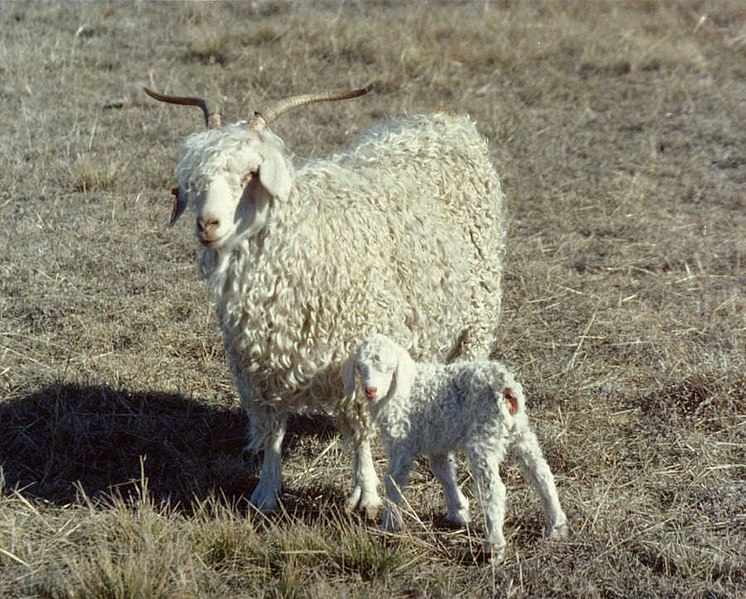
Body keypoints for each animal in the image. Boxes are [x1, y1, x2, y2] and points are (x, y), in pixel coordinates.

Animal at [340, 336, 568, 560]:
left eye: (389, 368)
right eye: (360, 367)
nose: (370, 391)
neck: (402, 388)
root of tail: (504, 385)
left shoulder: (402, 442)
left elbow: (393, 481)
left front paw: (390, 525)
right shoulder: (437, 443)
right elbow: (444, 473)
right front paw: (458, 513)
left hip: (484, 437)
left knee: (494, 488)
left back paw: (494, 545)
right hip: (520, 431)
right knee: (541, 473)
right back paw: (557, 525)